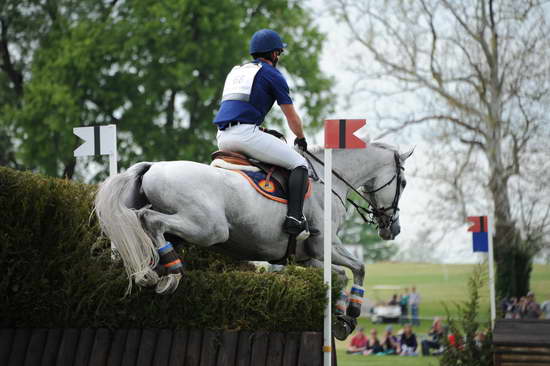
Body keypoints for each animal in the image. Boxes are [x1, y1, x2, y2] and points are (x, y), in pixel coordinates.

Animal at [96, 142, 414, 336]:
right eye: (403, 183)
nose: (393, 229)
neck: (331, 180)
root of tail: (153, 166)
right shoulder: (325, 246)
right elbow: (358, 268)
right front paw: (353, 311)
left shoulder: (307, 256)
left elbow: (340, 275)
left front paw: (341, 318)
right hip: (209, 227)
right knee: (150, 220)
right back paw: (170, 273)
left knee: (143, 229)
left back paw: (150, 271)